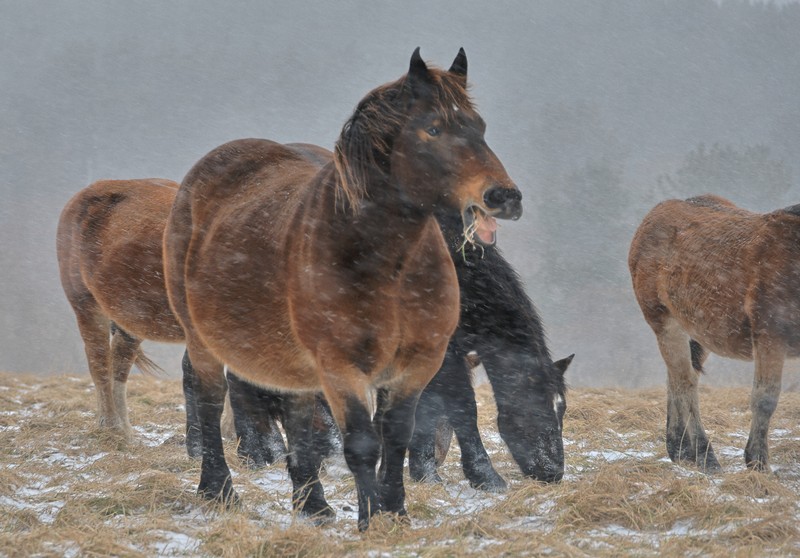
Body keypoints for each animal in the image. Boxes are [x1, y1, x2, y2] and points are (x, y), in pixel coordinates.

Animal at [162, 48, 522, 530]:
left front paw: (396, 513)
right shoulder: (341, 367)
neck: (385, 264)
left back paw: (313, 506)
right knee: (208, 400)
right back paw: (218, 491)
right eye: (433, 128)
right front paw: (370, 521)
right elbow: (362, 445)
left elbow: (396, 438)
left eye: (479, 127)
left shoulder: (417, 365)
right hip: (203, 339)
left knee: (296, 416)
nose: (504, 197)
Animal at [629, 194, 800, 472]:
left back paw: (681, 451)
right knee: (685, 383)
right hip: (665, 322)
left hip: (698, 331)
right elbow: (764, 399)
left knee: (677, 378)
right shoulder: (770, 335)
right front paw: (757, 463)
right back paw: (704, 456)